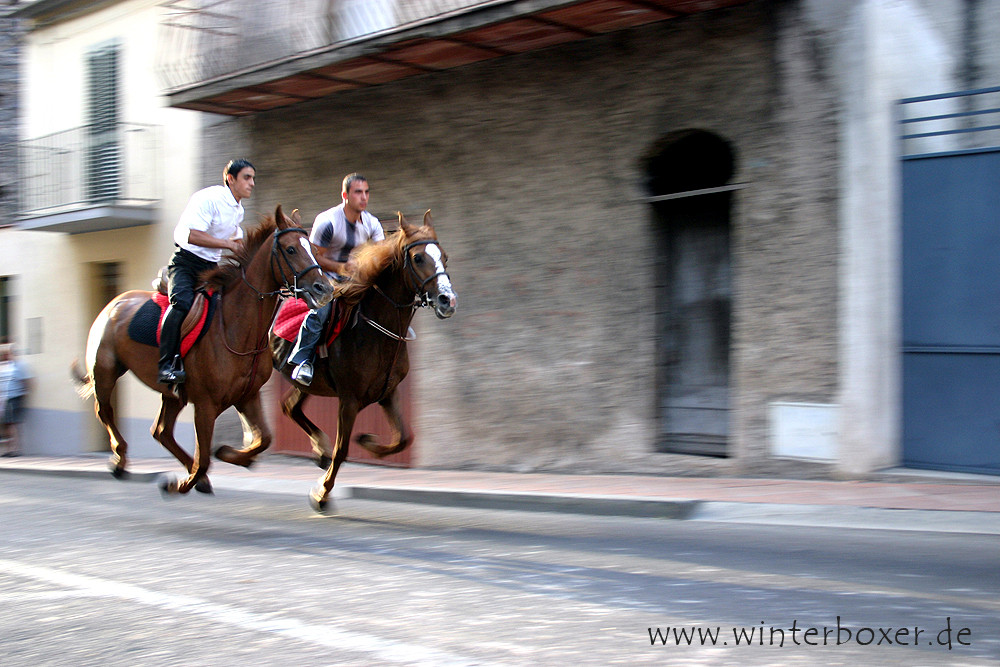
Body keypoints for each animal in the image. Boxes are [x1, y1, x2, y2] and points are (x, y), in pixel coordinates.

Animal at [75, 207, 332, 496]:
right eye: (290, 249)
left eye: (312, 247)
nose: (324, 289)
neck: (235, 328)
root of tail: (114, 304)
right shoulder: (206, 404)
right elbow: (206, 456)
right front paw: (181, 483)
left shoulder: (247, 396)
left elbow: (262, 439)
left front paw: (232, 455)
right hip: (105, 371)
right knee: (105, 411)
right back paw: (121, 459)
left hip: (172, 395)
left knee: (161, 431)